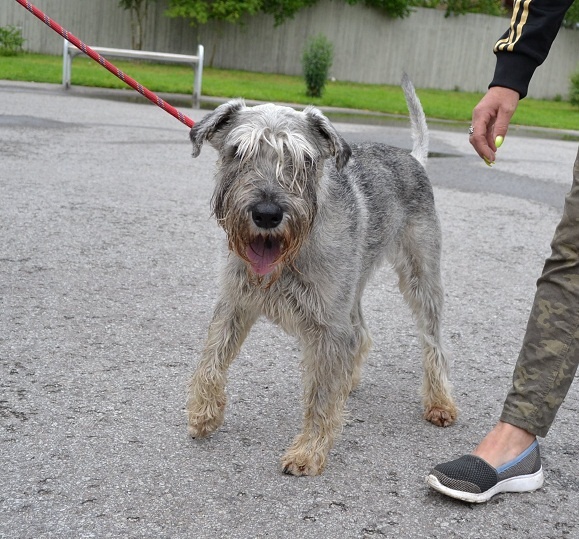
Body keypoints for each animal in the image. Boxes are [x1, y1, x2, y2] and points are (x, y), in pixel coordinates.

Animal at [186, 74, 457, 476]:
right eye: (238, 152)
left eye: (305, 160)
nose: (267, 213)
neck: (289, 255)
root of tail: (413, 158)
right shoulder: (235, 302)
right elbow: (211, 357)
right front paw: (204, 412)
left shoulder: (328, 325)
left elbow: (319, 395)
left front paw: (308, 451)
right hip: (353, 286)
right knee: (360, 334)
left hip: (420, 277)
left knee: (432, 343)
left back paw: (439, 402)